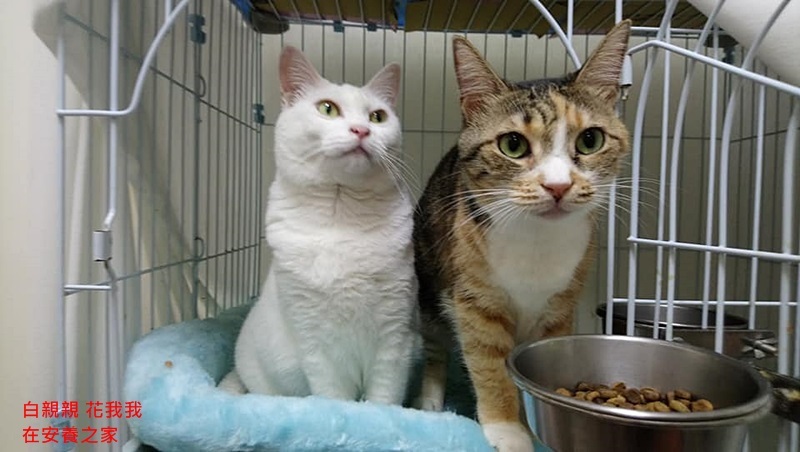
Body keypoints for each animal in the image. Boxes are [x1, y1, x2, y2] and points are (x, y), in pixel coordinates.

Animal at [219, 45, 420, 406]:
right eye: (327, 108)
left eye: (377, 117)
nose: (361, 130)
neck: (341, 215)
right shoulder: (315, 341)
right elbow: (334, 396)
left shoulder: (396, 335)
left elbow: (384, 397)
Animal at [412, 20, 632, 451]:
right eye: (512, 144)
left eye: (590, 140)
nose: (558, 185)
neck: (536, 240)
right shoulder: (475, 301)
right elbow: (489, 363)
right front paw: (508, 430)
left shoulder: (560, 307)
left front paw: (533, 424)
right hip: (429, 278)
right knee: (435, 345)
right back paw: (430, 400)